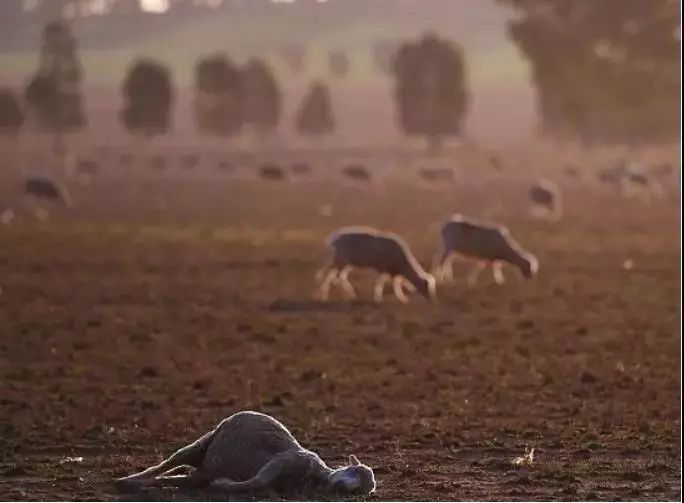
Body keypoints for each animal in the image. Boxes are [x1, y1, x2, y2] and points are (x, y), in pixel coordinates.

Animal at [115, 412, 376, 498]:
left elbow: (253, 484)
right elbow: (256, 481)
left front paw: (223, 484)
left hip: (202, 469)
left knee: (182, 478)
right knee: (167, 464)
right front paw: (226, 484)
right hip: (203, 442)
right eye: (353, 470)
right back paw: (127, 480)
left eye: (361, 491)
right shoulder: (281, 461)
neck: (313, 475)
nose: (342, 487)